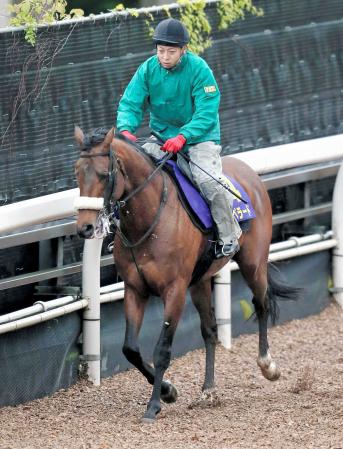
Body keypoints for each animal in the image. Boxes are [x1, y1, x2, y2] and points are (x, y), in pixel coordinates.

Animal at [74, 125, 300, 420]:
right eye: (77, 172)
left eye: (103, 174)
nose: (85, 228)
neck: (150, 220)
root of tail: (249, 173)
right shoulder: (135, 289)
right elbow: (130, 349)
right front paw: (168, 391)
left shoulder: (175, 290)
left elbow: (162, 349)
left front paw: (154, 404)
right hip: (200, 283)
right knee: (210, 330)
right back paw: (208, 391)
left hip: (253, 263)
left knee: (261, 304)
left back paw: (267, 365)